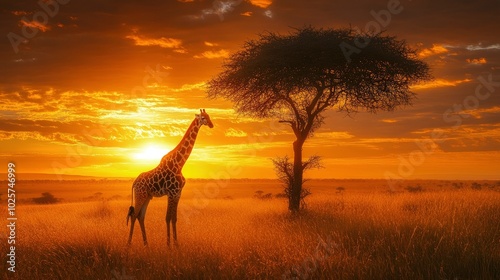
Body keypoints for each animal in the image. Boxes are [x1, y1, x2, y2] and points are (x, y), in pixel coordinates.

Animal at [127, 108, 213, 246]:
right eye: (203, 118)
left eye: (209, 116)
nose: (211, 124)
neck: (179, 164)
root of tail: (134, 182)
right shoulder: (171, 193)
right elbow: (167, 217)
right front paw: (169, 245)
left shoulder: (178, 193)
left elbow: (174, 218)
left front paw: (176, 244)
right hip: (140, 195)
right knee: (134, 215)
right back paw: (129, 244)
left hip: (147, 197)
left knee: (141, 216)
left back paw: (146, 244)